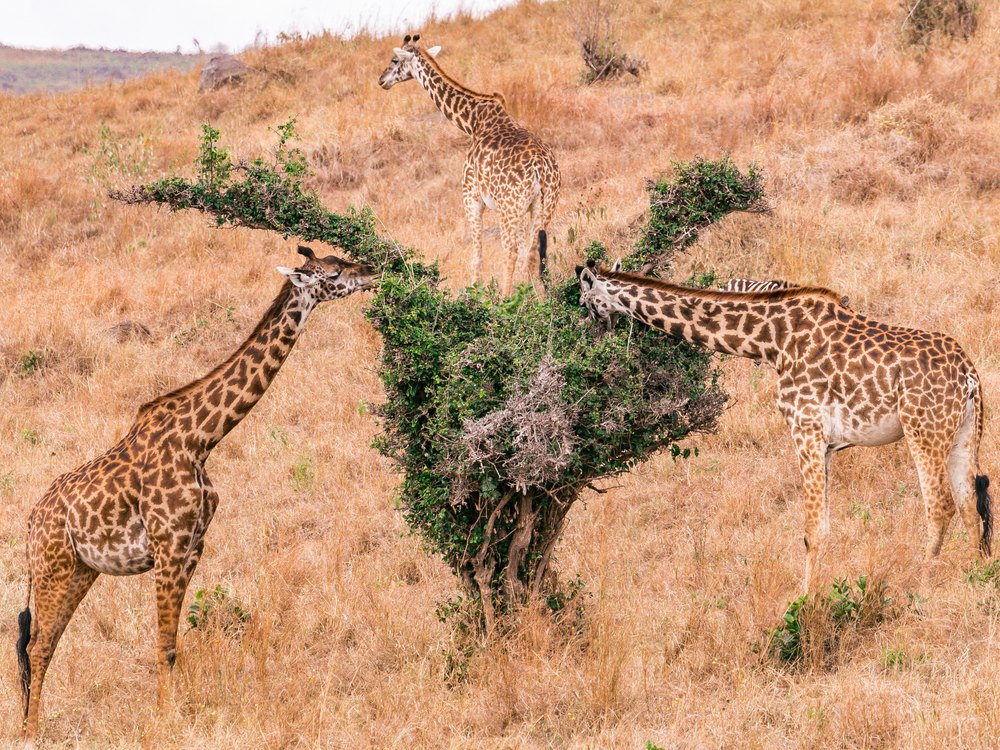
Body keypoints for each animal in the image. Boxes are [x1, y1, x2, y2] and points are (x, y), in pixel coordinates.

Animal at [16, 247, 374, 742]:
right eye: (334, 272)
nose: (371, 271)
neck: (202, 438)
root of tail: (31, 522)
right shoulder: (168, 546)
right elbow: (164, 644)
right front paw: (166, 720)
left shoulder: (193, 547)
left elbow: (174, 642)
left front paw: (177, 711)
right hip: (54, 567)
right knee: (37, 646)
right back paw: (30, 732)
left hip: (81, 569)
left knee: (44, 643)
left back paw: (30, 724)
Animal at [378, 34, 561, 295]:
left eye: (394, 60)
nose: (381, 80)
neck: (473, 121)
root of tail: (541, 169)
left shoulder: (471, 197)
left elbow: (476, 257)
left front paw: (474, 295)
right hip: (542, 207)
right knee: (532, 253)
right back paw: (532, 299)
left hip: (510, 208)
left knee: (511, 251)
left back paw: (506, 299)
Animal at [576, 259, 992, 589]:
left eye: (585, 301)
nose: (592, 334)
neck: (772, 340)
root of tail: (969, 374)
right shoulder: (826, 444)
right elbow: (821, 528)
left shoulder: (805, 428)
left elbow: (813, 532)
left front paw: (805, 602)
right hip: (963, 433)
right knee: (968, 502)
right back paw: (975, 574)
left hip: (923, 431)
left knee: (940, 505)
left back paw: (922, 580)